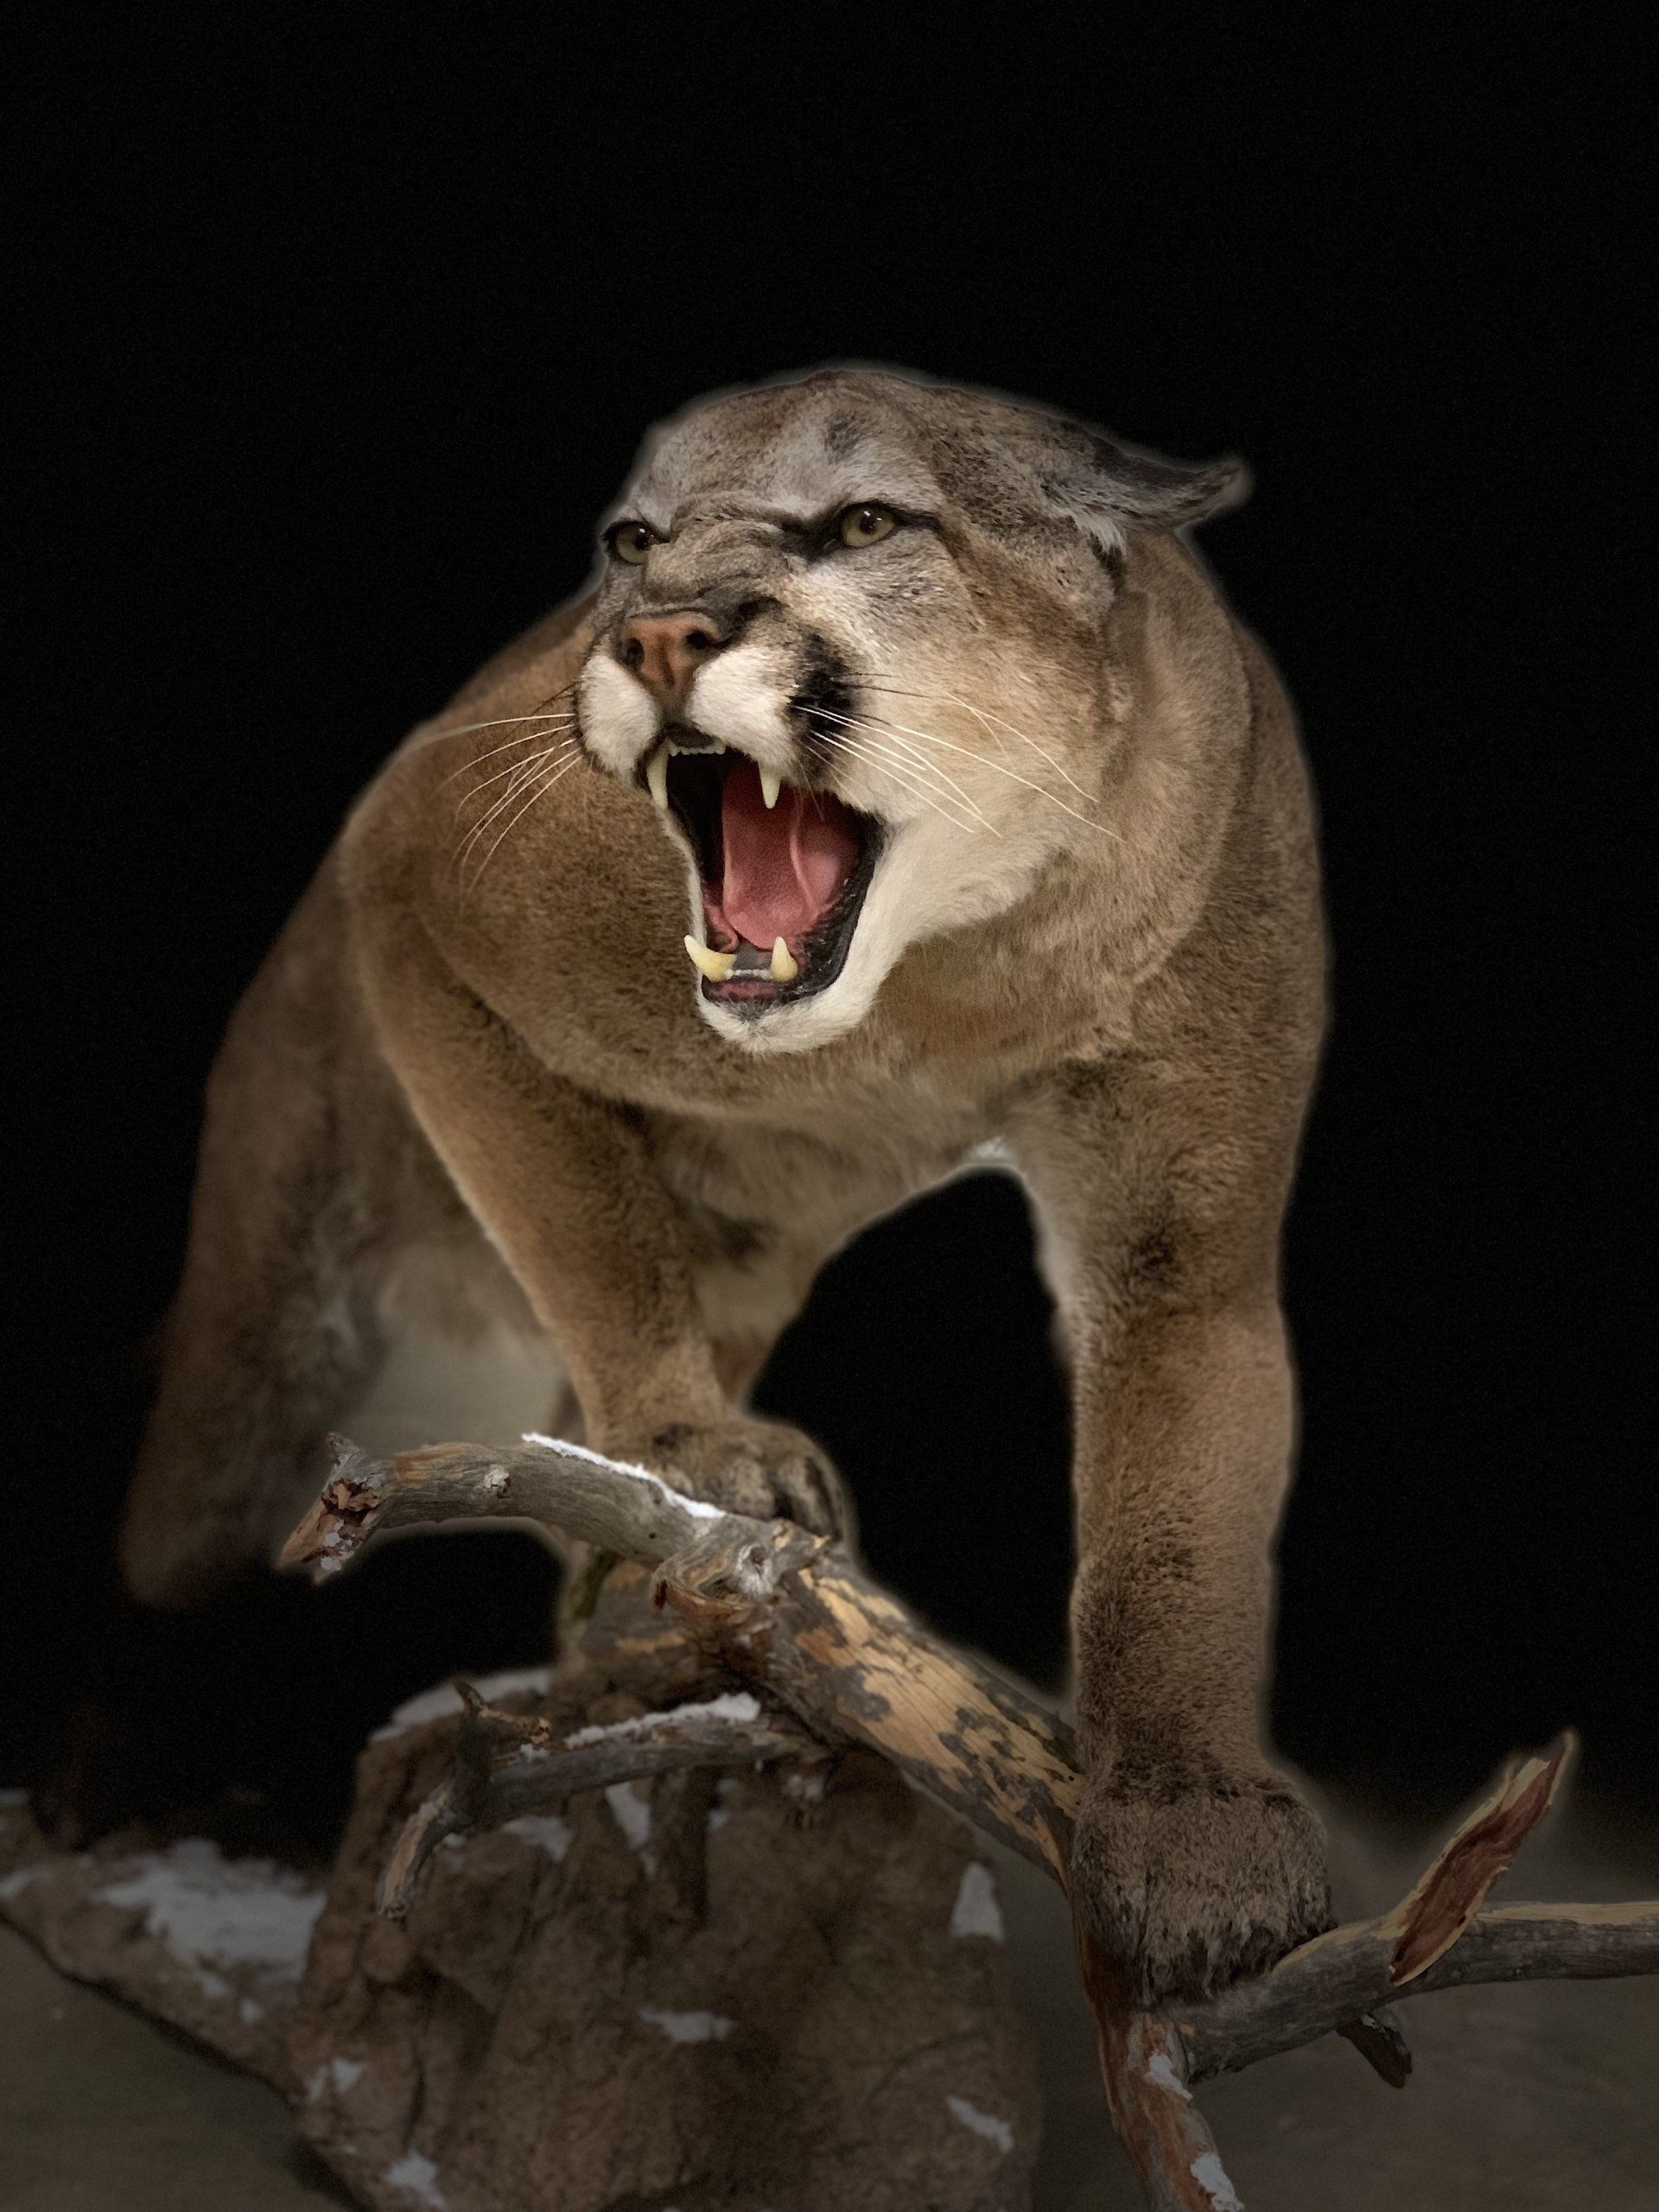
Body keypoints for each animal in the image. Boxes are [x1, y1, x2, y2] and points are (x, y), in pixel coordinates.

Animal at [118, 365, 1332, 2000]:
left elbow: (1179, 1516)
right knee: (174, 1541)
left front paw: (1191, 1827)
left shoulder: (1180, 1234)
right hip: (262, 1330)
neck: (953, 976)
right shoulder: (418, 870)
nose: (655, 634)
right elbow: (594, 1238)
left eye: (868, 523)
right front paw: (687, 1448)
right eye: (631, 543)